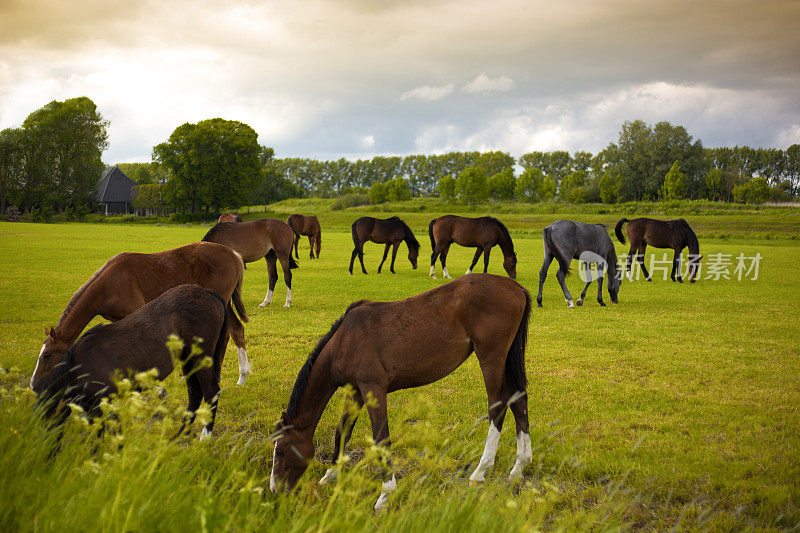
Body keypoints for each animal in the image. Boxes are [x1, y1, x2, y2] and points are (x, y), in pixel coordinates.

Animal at [30, 243, 250, 388]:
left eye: (47, 355)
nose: (33, 383)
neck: (108, 284)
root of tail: (234, 254)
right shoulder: (117, 319)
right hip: (223, 302)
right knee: (236, 330)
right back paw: (237, 376)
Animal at [34, 284, 228, 438]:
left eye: (47, 355)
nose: (33, 384)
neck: (75, 366)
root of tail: (209, 293)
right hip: (188, 360)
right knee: (195, 393)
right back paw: (179, 436)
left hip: (201, 358)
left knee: (211, 391)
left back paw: (204, 438)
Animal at [272, 274, 536, 512]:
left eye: (282, 451)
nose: (275, 491)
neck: (345, 340)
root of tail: (516, 288)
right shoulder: (356, 390)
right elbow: (342, 431)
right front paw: (331, 475)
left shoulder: (373, 388)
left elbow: (381, 438)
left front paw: (385, 495)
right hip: (507, 358)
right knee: (518, 401)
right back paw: (519, 466)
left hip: (491, 358)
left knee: (498, 406)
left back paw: (481, 470)